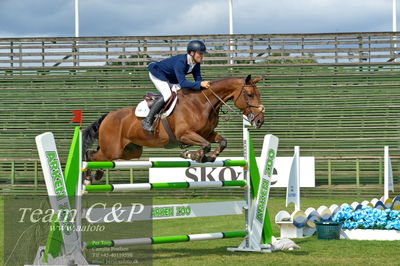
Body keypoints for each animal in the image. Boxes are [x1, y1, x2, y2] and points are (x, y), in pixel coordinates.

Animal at [82, 74, 266, 183]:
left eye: (259, 94)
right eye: (249, 95)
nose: (259, 121)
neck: (202, 103)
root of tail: (108, 116)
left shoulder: (207, 133)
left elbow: (222, 142)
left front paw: (210, 157)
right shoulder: (184, 134)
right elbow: (205, 145)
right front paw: (192, 155)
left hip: (130, 151)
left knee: (97, 155)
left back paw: (96, 174)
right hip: (113, 149)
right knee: (91, 155)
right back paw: (88, 177)